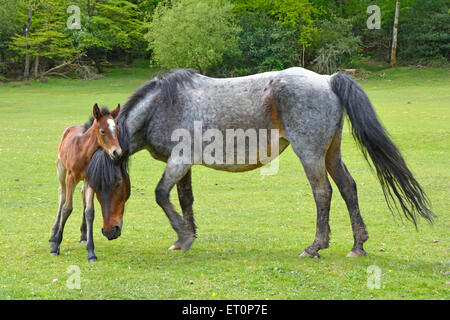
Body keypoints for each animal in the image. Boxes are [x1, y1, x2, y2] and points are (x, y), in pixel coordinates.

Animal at [86, 67, 434, 258]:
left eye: (116, 185)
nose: (109, 232)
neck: (164, 105)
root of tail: (327, 79)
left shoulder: (179, 161)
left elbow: (161, 194)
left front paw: (184, 237)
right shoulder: (183, 164)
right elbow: (184, 199)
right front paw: (185, 235)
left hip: (310, 153)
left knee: (323, 194)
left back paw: (315, 247)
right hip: (331, 152)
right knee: (349, 188)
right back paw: (357, 245)